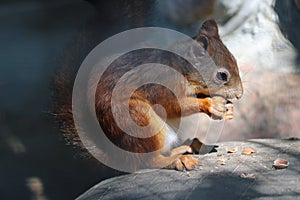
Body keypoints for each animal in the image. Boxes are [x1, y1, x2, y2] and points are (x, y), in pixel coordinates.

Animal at [54, 19, 243, 172]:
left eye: (235, 60)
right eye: (222, 75)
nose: (240, 94)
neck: (180, 67)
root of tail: (118, 156)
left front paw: (228, 110)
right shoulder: (162, 85)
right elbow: (174, 105)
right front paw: (211, 105)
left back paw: (190, 145)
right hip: (140, 120)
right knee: (148, 161)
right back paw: (179, 159)